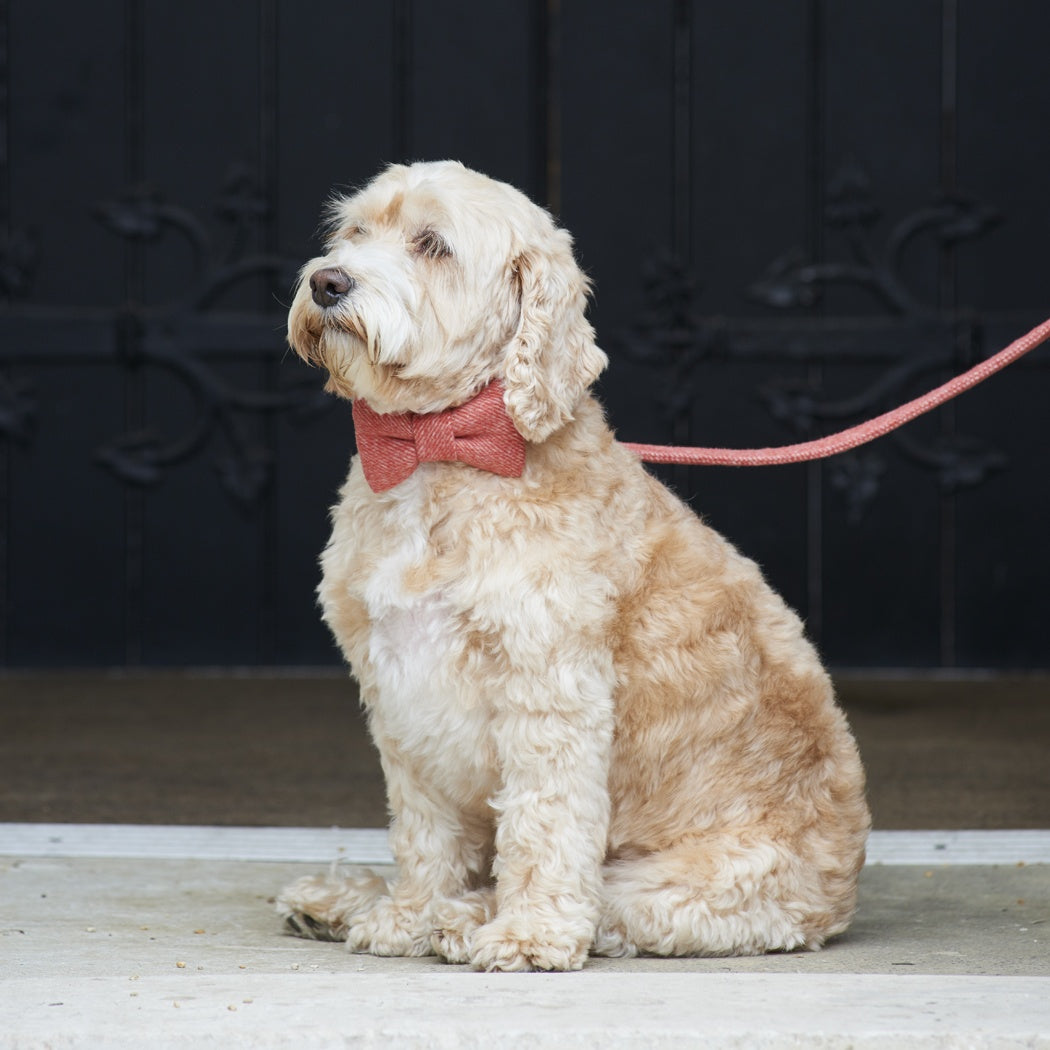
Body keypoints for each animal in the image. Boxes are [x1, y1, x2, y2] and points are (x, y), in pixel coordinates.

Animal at [277, 159, 869, 970]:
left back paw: (466, 920)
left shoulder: (549, 686)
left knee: (605, 906)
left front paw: (526, 934)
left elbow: (543, 823)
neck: (440, 449)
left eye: (433, 245)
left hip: (686, 887)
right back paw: (349, 903)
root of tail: (842, 893)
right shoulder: (399, 690)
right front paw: (407, 914)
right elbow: (424, 829)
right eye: (355, 232)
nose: (327, 281)